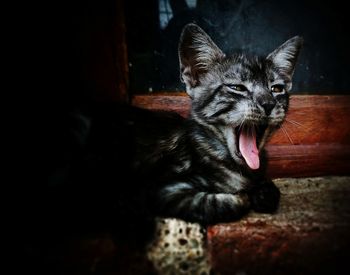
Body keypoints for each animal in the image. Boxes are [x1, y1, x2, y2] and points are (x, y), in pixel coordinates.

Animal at [47, 23, 304, 244]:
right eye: (237, 88)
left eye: (276, 89)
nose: (268, 104)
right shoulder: (161, 188)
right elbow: (228, 202)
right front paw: (245, 196)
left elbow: (270, 188)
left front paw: (263, 192)